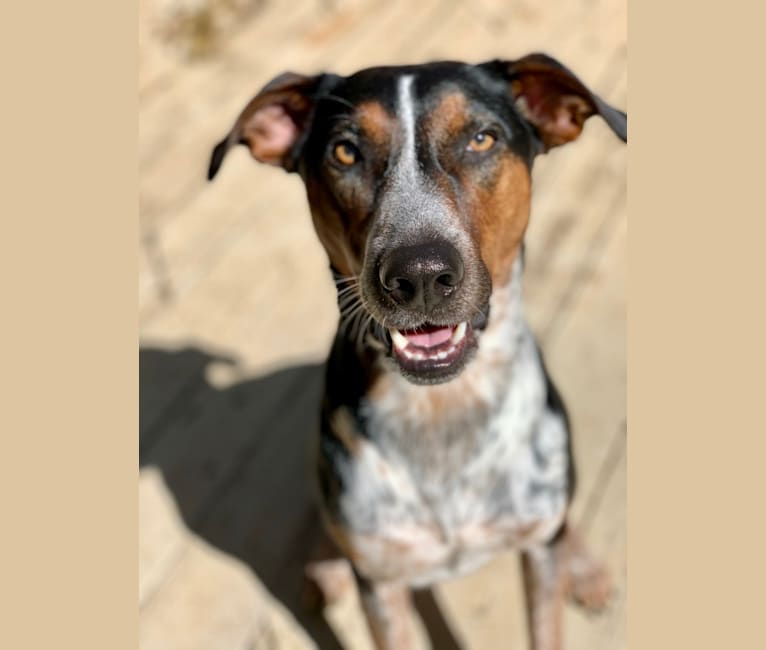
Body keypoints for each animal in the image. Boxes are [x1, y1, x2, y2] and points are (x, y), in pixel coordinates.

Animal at [207, 53, 628, 644]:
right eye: (345, 151)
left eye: (481, 138)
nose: (421, 275)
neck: (442, 408)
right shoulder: (382, 586)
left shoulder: (539, 554)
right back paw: (325, 566)